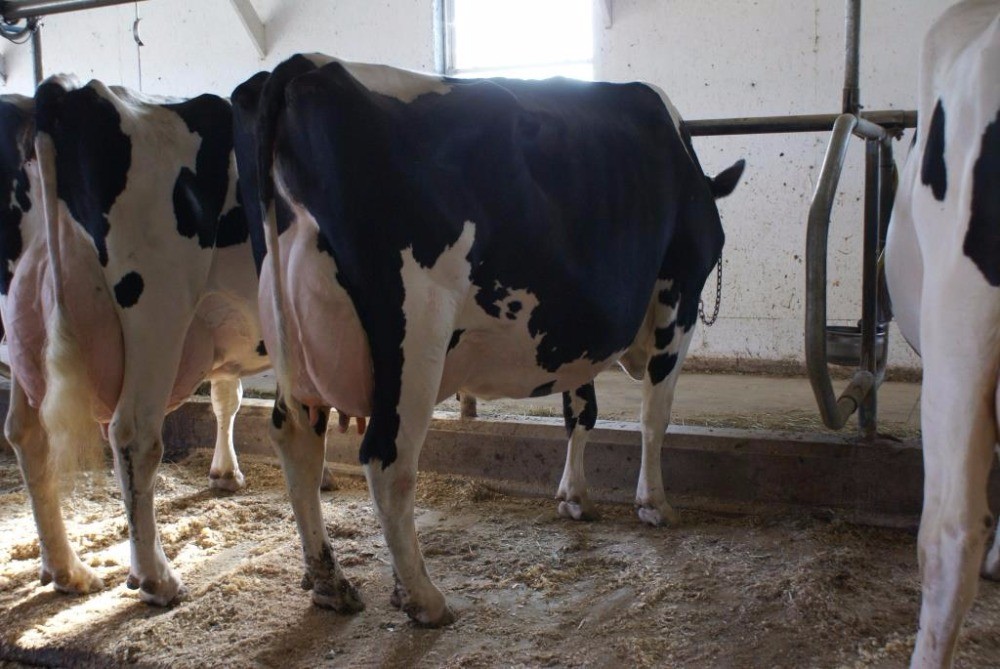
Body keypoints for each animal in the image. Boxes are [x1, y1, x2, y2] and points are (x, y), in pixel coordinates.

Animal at [233, 54, 743, 626]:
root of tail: (306, 65)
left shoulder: (575, 333)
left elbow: (581, 411)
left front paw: (574, 497)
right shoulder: (680, 293)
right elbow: (655, 416)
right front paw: (654, 504)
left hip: (294, 346)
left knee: (297, 442)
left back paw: (330, 582)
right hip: (414, 334)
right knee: (388, 460)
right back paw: (424, 598)